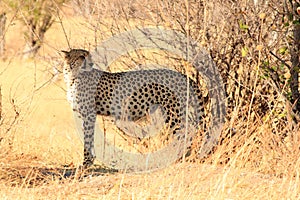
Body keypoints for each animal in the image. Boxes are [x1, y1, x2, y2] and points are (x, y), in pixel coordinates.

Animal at [61, 49, 205, 166]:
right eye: (81, 56)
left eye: (88, 56)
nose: (91, 63)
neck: (73, 76)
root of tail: (182, 75)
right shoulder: (83, 115)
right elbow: (88, 138)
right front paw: (90, 160)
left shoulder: (89, 114)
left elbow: (88, 138)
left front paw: (86, 162)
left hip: (173, 114)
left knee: (184, 133)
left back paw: (177, 158)